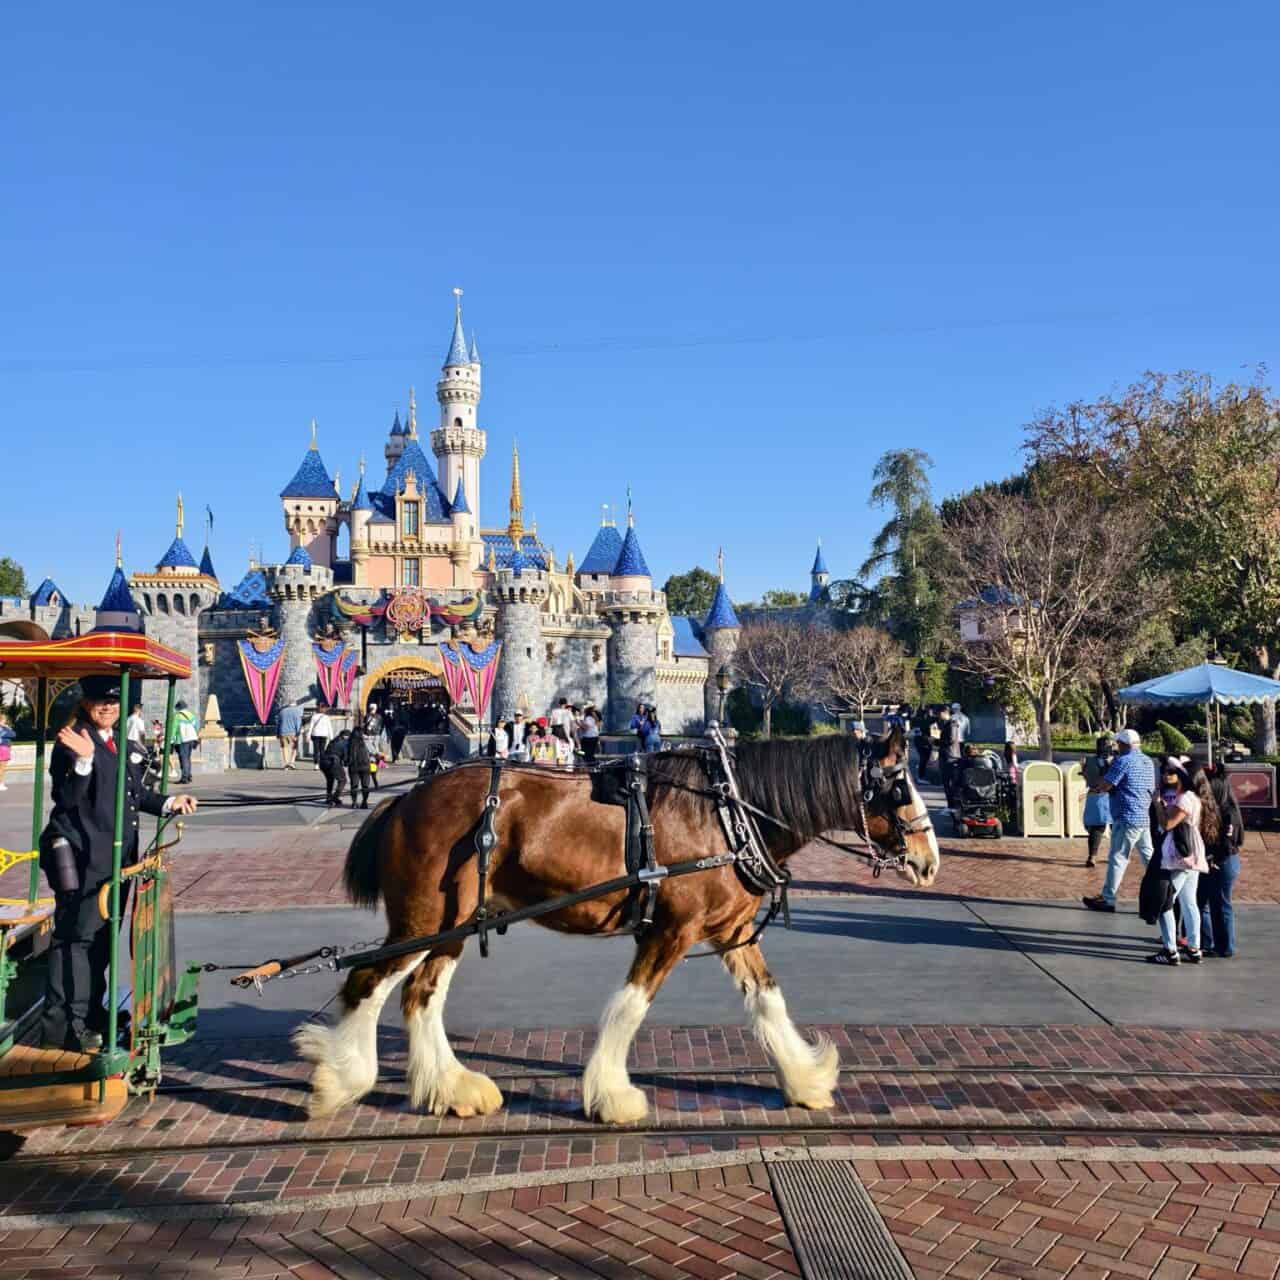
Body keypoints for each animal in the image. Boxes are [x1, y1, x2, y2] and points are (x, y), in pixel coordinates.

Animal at [294, 725, 939, 1125]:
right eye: (898, 786)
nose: (930, 861)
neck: (726, 812)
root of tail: (403, 801)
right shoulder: (671, 930)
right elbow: (630, 1007)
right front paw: (612, 1096)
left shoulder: (729, 931)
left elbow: (767, 1002)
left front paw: (804, 1080)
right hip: (423, 920)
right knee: (367, 982)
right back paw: (342, 1079)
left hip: (454, 923)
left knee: (421, 994)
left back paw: (453, 1090)